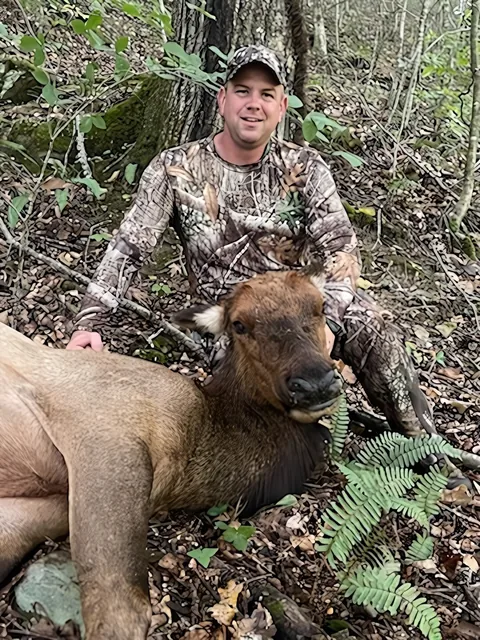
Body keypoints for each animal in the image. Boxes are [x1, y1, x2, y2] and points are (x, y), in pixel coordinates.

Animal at [0, 267, 342, 640]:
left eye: (320, 306)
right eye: (239, 324)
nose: (314, 382)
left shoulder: (37, 513)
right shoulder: (108, 431)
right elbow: (125, 612)